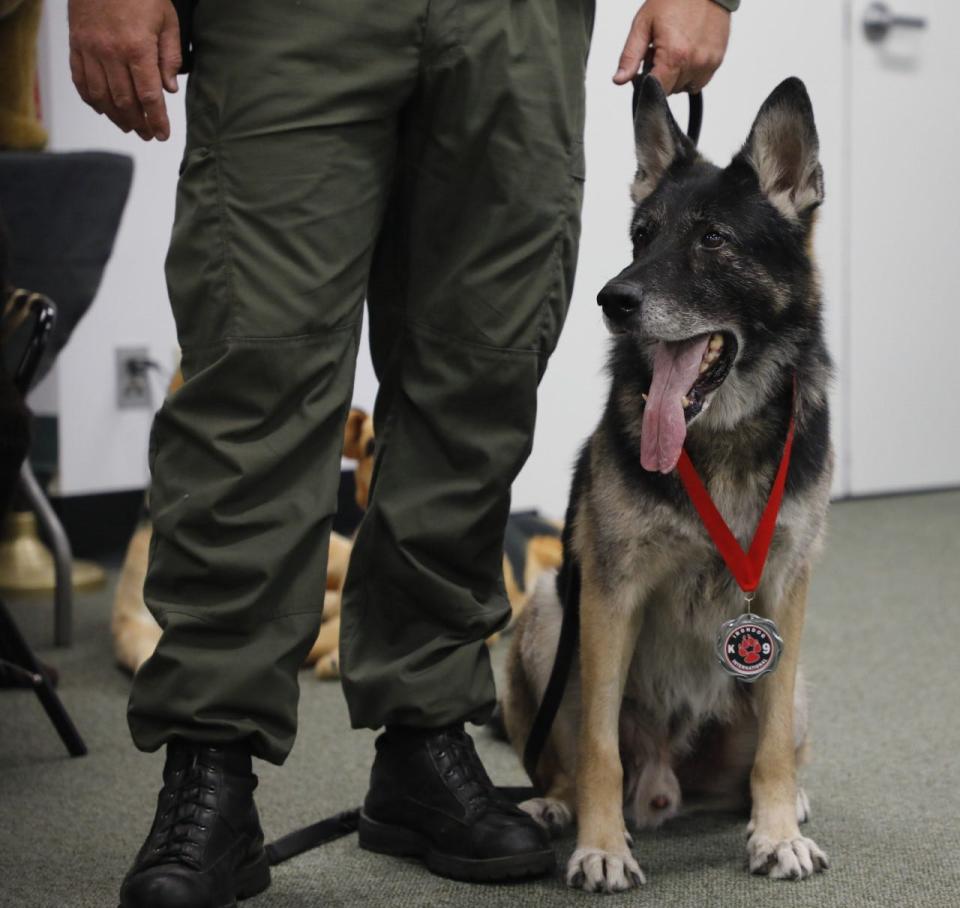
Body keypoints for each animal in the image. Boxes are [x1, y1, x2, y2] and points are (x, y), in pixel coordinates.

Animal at [502, 74, 832, 892]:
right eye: (642, 236)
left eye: (713, 239)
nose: (613, 301)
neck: (720, 437)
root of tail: (666, 778)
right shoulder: (609, 596)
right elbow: (596, 749)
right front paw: (600, 845)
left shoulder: (786, 589)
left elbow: (773, 747)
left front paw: (776, 833)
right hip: (552, 614)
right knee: (568, 760)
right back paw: (556, 806)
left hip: (796, 679)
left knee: (773, 744)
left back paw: (781, 802)